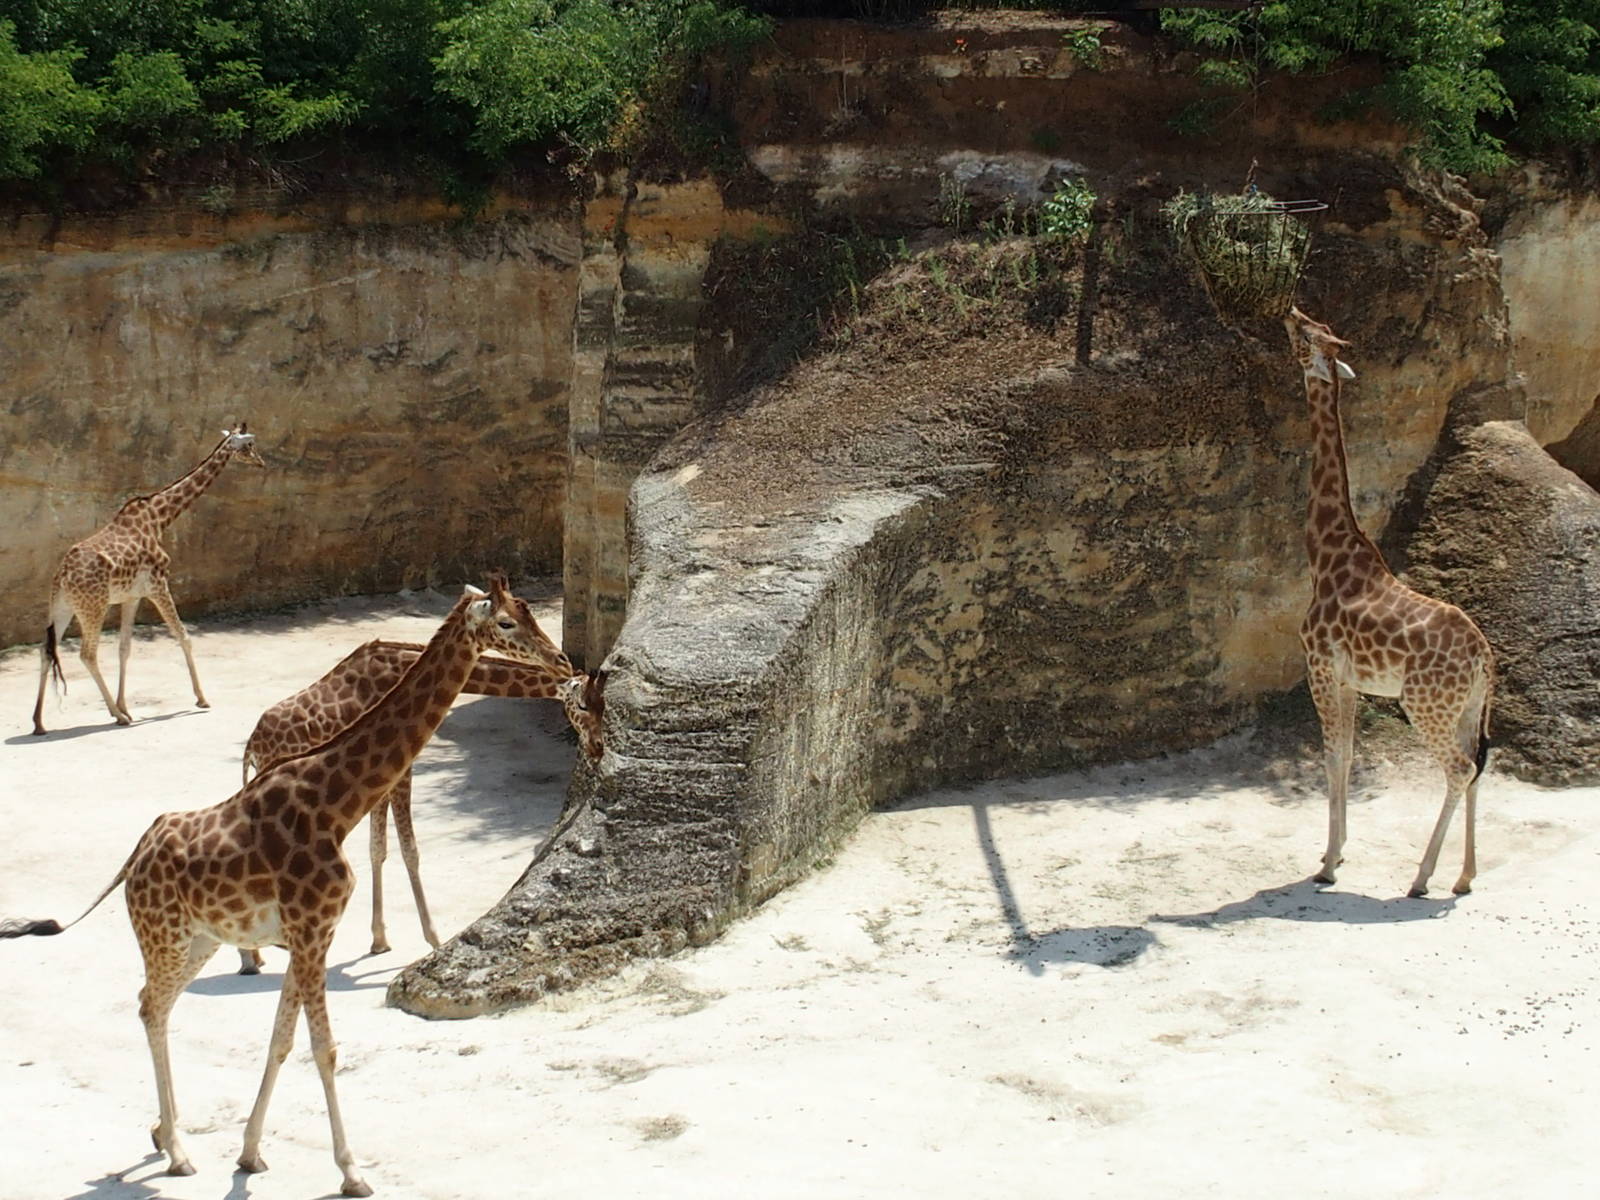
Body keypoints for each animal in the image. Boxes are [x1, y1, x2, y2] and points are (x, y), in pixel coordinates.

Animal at [31, 427, 266, 735]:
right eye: (248, 445)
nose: (261, 462)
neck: (160, 518)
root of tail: (63, 575)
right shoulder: (158, 585)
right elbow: (184, 636)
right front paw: (201, 698)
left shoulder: (133, 596)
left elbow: (125, 648)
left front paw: (126, 704)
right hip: (93, 607)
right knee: (87, 654)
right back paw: (117, 716)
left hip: (62, 608)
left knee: (46, 651)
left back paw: (39, 722)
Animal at [234, 633, 579, 974]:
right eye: (582, 705)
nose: (562, 660)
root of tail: (252, 745)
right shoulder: (400, 771)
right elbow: (409, 849)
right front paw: (435, 939)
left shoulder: (378, 782)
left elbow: (378, 848)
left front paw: (379, 940)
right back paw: (251, 958)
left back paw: (254, 956)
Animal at [1285, 307, 1494, 897]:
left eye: (1308, 336)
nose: (1289, 311)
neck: (1325, 552)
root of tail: (1484, 659)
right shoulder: (1350, 679)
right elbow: (1348, 755)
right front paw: (1336, 850)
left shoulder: (1319, 668)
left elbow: (1332, 756)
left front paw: (1329, 864)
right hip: (1468, 708)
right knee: (1476, 766)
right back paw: (1464, 876)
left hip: (1425, 704)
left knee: (1458, 769)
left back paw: (1422, 878)